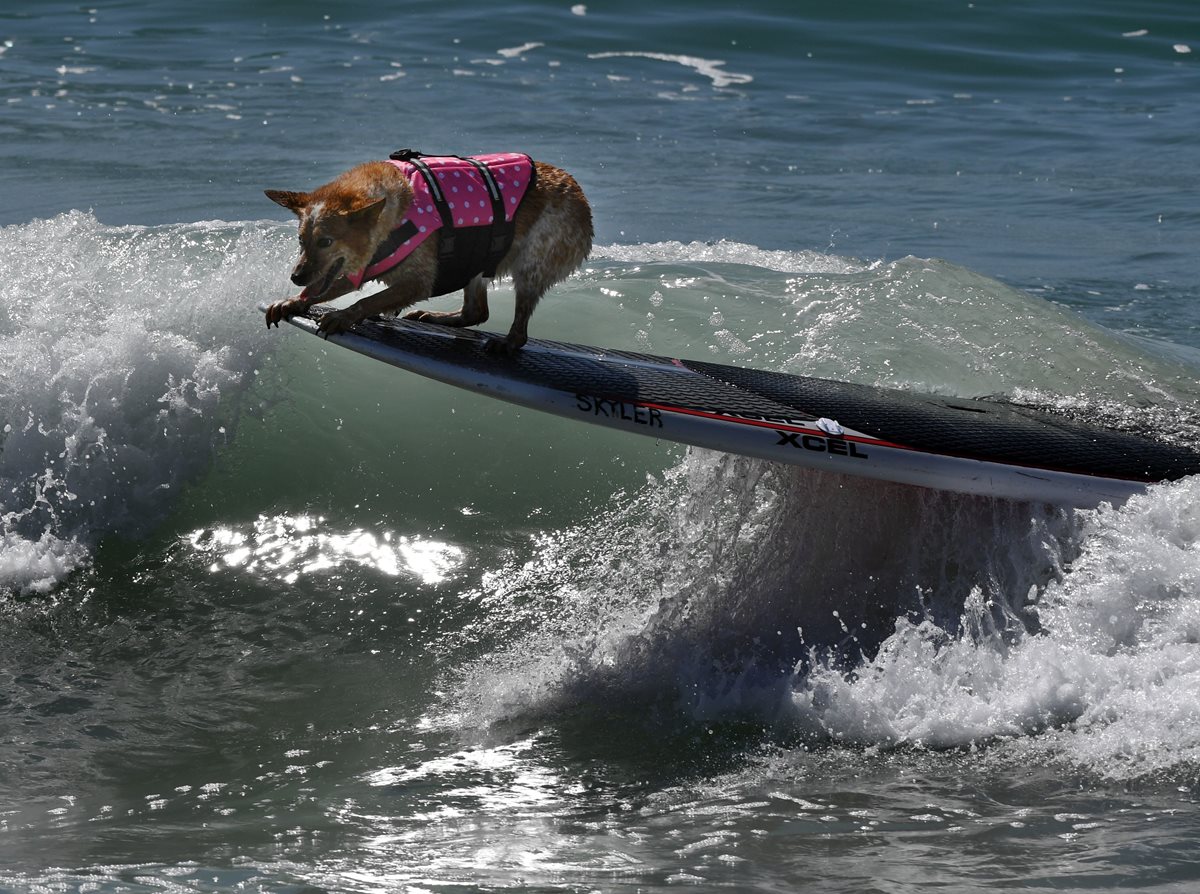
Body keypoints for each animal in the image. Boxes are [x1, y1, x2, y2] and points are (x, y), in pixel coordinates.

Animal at [267, 148, 595, 352]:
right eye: (301, 240)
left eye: (326, 242)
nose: (296, 277)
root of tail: (580, 195)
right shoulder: (360, 270)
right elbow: (329, 289)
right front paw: (292, 301)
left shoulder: (418, 281)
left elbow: (368, 300)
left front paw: (344, 316)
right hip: (477, 264)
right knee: (476, 312)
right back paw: (438, 317)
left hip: (530, 265)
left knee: (519, 330)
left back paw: (507, 342)